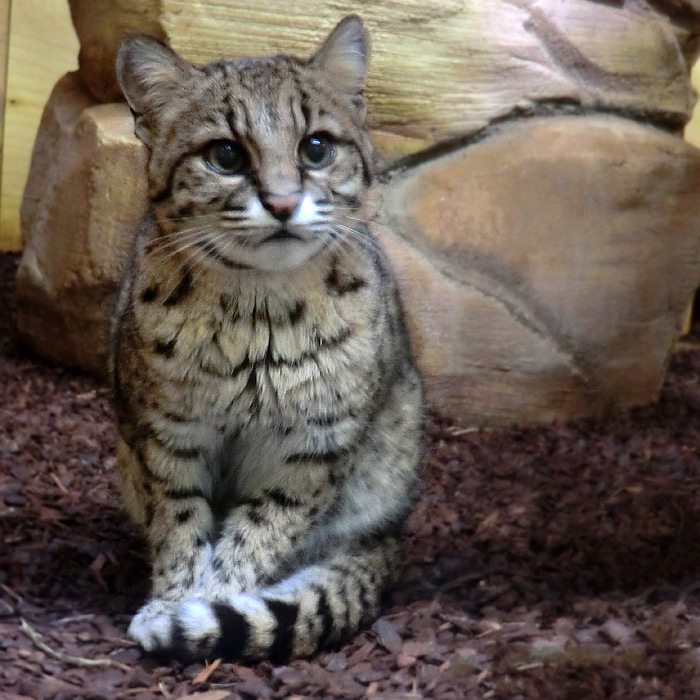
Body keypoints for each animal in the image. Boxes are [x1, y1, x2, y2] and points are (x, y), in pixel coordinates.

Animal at [110, 15, 422, 660]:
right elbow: (180, 528)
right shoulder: (167, 439)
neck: (258, 317)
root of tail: (393, 533)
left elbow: (257, 534)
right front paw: (174, 601)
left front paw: (205, 607)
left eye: (316, 147)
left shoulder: (313, 449)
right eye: (225, 154)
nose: (281, 202)